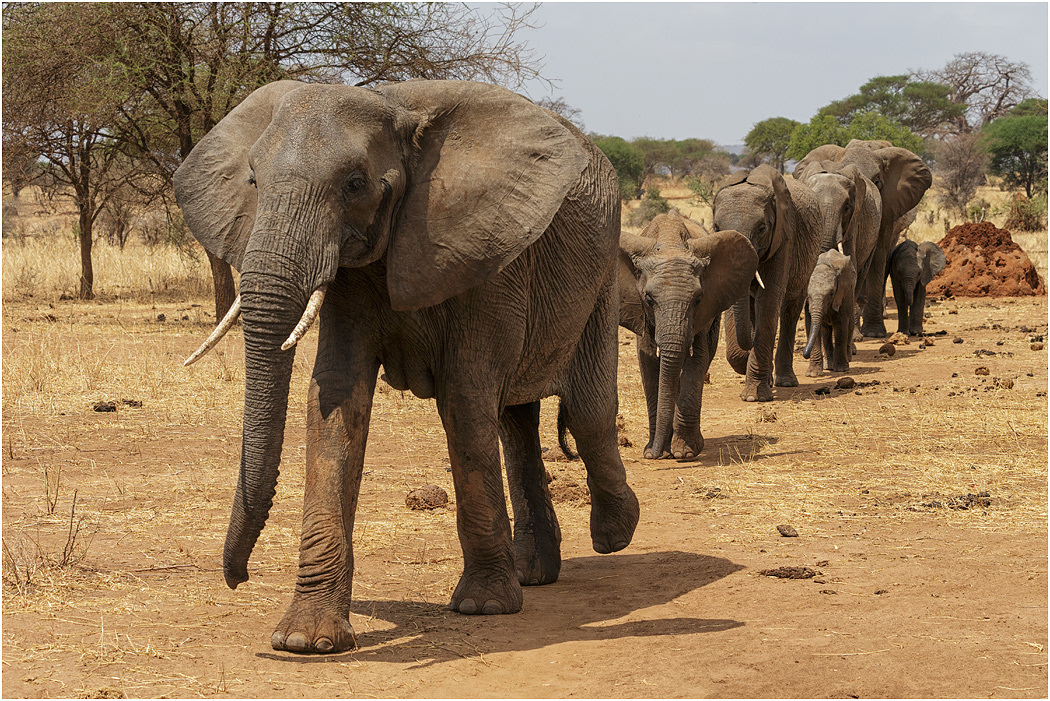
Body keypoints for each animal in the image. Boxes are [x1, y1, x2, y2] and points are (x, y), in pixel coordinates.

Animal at [173, 79, 640, 653]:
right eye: (254, 181)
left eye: (354, 184)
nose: (237, 577)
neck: (395, 107)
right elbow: (334, 399)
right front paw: (305, 640)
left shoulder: (482, 251)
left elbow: (464, 400)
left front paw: (484, 607)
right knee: (516, 421)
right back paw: (534, 573)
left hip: (601, 273)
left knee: (589, 412)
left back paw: (615, 533)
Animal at [618, 211, 758, 459]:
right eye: (648, 299)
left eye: (698, 299)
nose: (654, 455)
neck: (670, 242)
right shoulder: (641, 313)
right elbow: (648, 362)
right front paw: (654, 451)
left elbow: (696, 360)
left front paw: (684, 452)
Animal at [712, 164, 823, 402]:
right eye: (716, 228)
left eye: (762, 228)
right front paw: (745, 363)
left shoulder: (783, 239)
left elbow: (770, 299)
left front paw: (754, 397)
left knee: (790, 310)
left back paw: (785, 381)